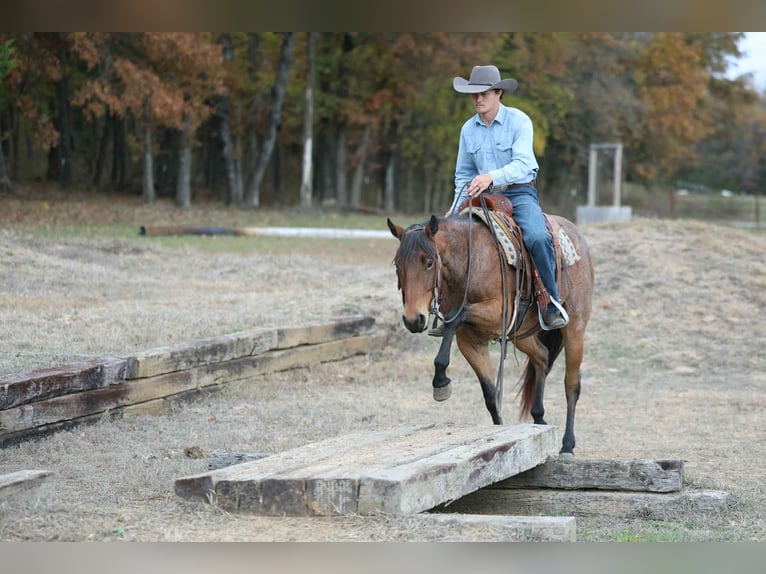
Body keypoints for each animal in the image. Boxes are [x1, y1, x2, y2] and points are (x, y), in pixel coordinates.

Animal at [387, 209, 594, 455]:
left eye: (429, 263)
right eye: (397, 266)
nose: (413, 320)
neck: (470, 261)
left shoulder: (498, 313)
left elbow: (457, 316)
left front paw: (440, 381)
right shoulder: (470, 341)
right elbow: (490, 395)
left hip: (575, 327)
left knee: (572, 384)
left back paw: (567, 445)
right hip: (520, 334)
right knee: (542, 357)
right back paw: (539, 419)